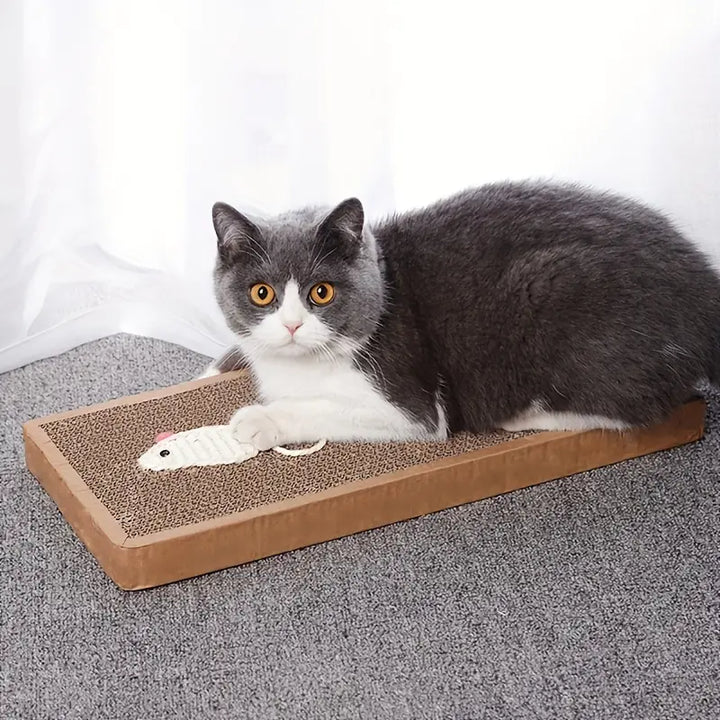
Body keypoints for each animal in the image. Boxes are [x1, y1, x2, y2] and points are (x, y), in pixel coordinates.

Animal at [204, 181, 720, 450]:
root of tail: (703, 288)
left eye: (321, 292)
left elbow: (321, 408)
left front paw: (258, 421)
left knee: (637, 408)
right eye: (262, 293)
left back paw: (524, 417)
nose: (292, 325)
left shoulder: (411, 403)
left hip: (554, 294)